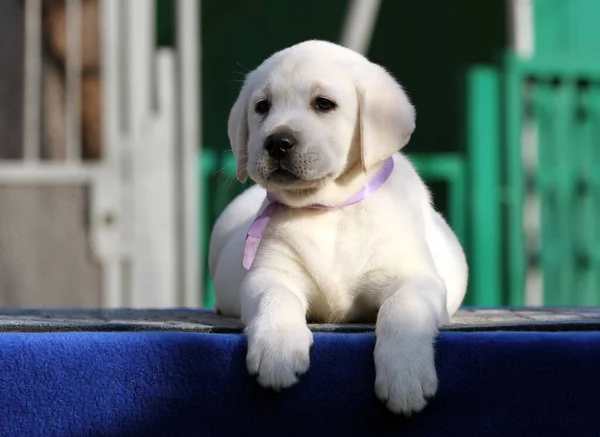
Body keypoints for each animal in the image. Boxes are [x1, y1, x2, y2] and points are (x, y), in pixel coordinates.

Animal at [211, 41, 468, 416]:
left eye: (323, 103)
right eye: (261, 107)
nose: (277, 142)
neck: (327, 208)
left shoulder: (415, 278)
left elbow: (402, 309)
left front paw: (404, 377)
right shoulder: (269, 274)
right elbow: (276, 297)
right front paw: (278, 349)